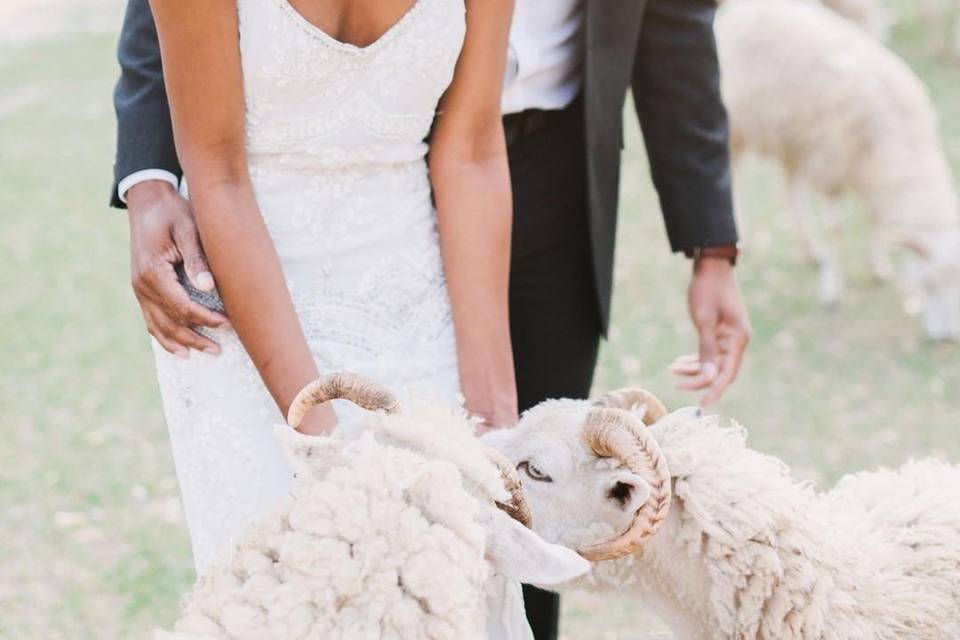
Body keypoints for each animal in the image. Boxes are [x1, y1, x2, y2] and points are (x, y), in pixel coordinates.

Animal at [716, 0, 956, 340]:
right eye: (929, 282)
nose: (946, 337)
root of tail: (739, 9)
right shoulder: (831, 168)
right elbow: (838, 230)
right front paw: (831, 292)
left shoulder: (868, 176)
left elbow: (875, 222)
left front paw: (878, 268)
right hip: (736, 125)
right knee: (732, 177)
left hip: (792, 135)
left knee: (791, 189)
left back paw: (812, 250)